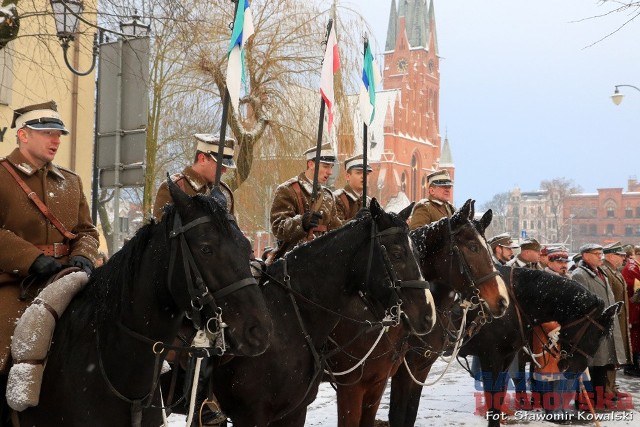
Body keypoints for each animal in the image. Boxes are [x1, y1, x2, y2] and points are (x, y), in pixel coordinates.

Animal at [390, 266, 620, 426]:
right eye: (597, 333)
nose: (575, 370)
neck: (513, 303)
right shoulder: (491, 358)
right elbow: (493, 402)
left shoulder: (507, 358)